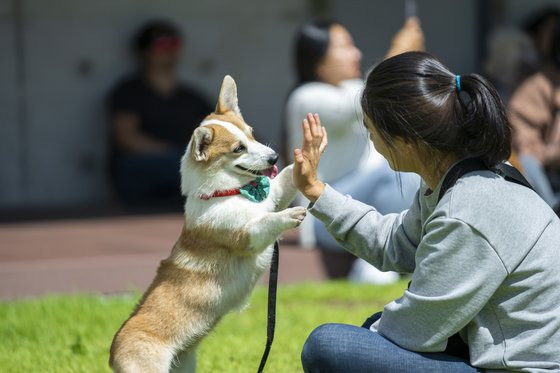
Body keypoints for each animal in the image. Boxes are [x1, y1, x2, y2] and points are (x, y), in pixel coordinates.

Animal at [107, 76, 304, 372]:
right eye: (238, 148)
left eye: (251, 134)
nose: (274, 158)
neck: (227, 193)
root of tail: (113, 352)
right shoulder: (245, 235)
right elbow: (266, 222)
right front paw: (289, 216)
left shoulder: (275, 196)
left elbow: (286, 180)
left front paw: (308, 155)